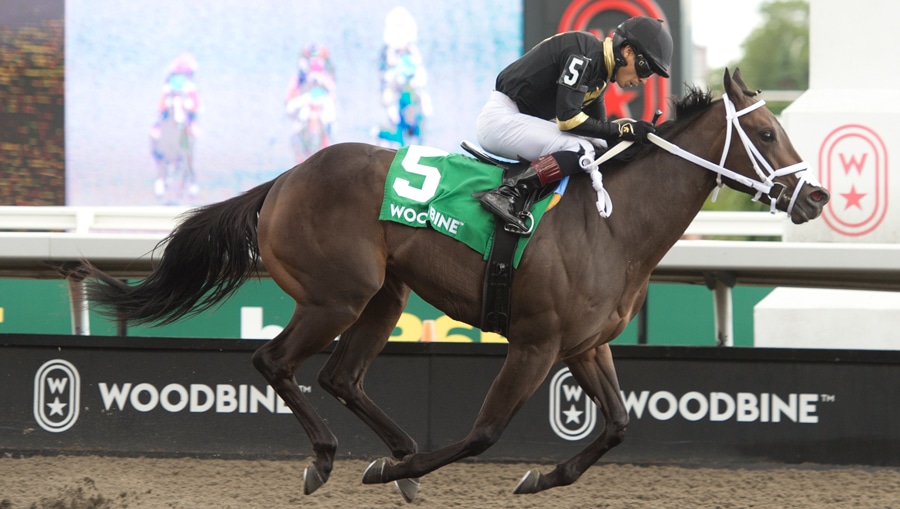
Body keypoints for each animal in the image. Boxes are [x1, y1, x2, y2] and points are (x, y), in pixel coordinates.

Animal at [84, 69, 829, 502]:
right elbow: (484, 432)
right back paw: (336, 459)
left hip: (384, 296)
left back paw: (399, 456)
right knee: (274, 361)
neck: (610, 225)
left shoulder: (586, 346)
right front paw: (399, 470)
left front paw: (542, 475)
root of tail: (287, 178)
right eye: (767, 132)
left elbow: (618, 424)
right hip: (336, 295)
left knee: (339, 376)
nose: (817, 196)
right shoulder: (536, 343)